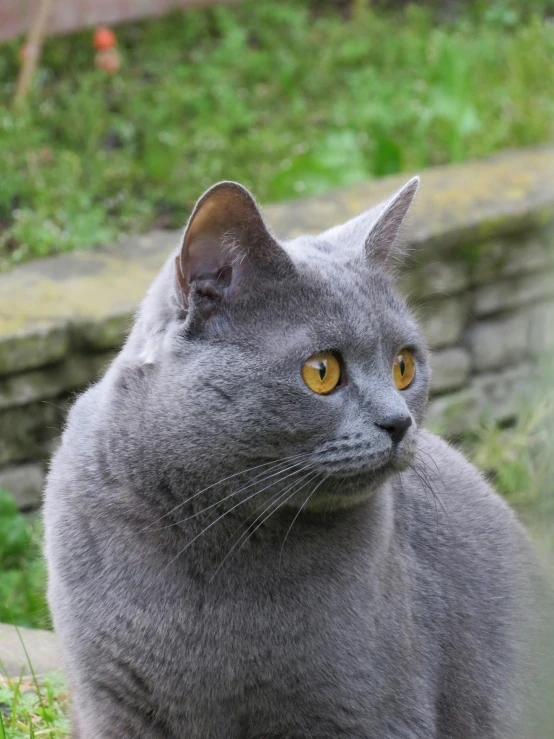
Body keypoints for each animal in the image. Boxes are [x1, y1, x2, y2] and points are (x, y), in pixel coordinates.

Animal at [45, 179, 532, 739]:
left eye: (404, 366)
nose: (398, 422)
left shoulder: (367, 712)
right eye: (321, 371)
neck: (216, 537)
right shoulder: (111, 701)